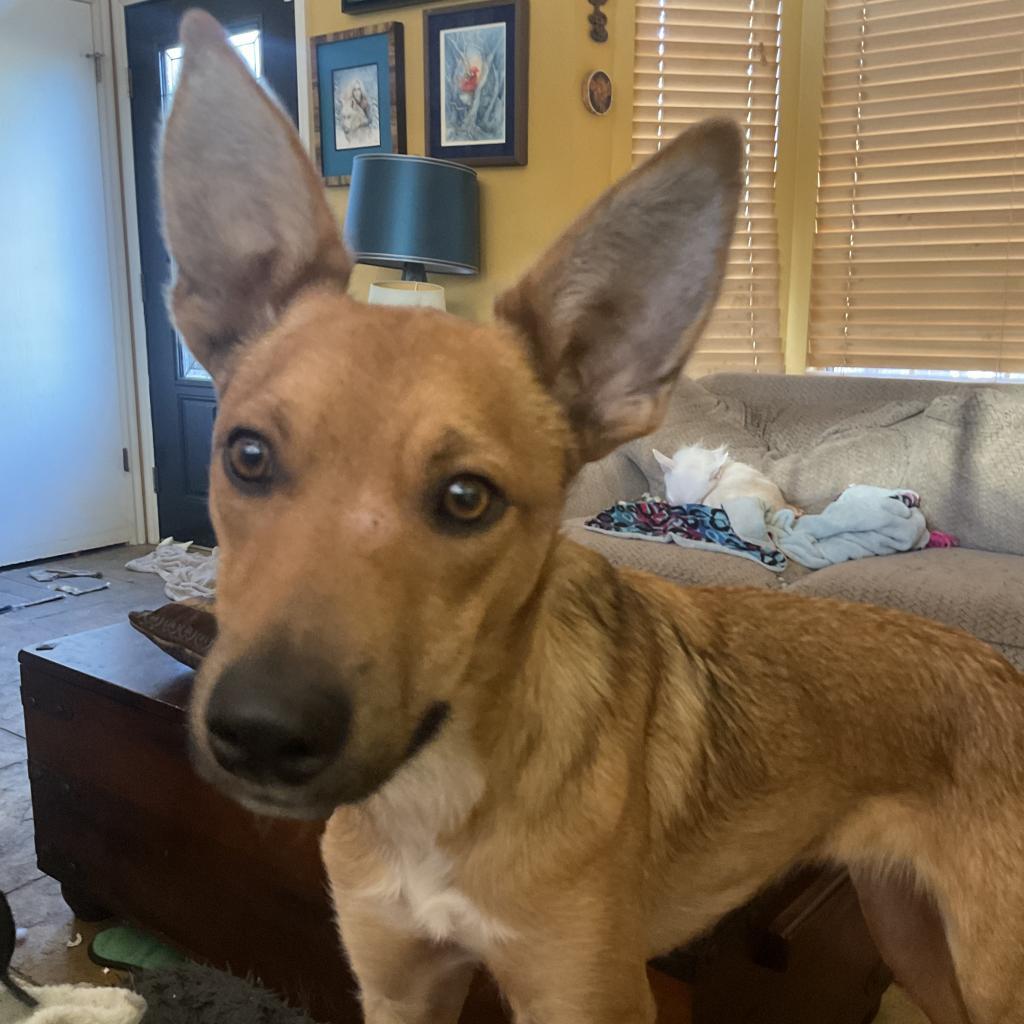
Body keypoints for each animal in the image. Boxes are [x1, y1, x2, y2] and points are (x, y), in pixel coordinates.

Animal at [157, 9, 1024, 1024]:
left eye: (467, 498)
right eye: (247, 456)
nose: (260, 732)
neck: (442, 796)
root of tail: (1001, 673)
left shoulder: (589, 996)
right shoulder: (398, 988)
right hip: (909, 928)